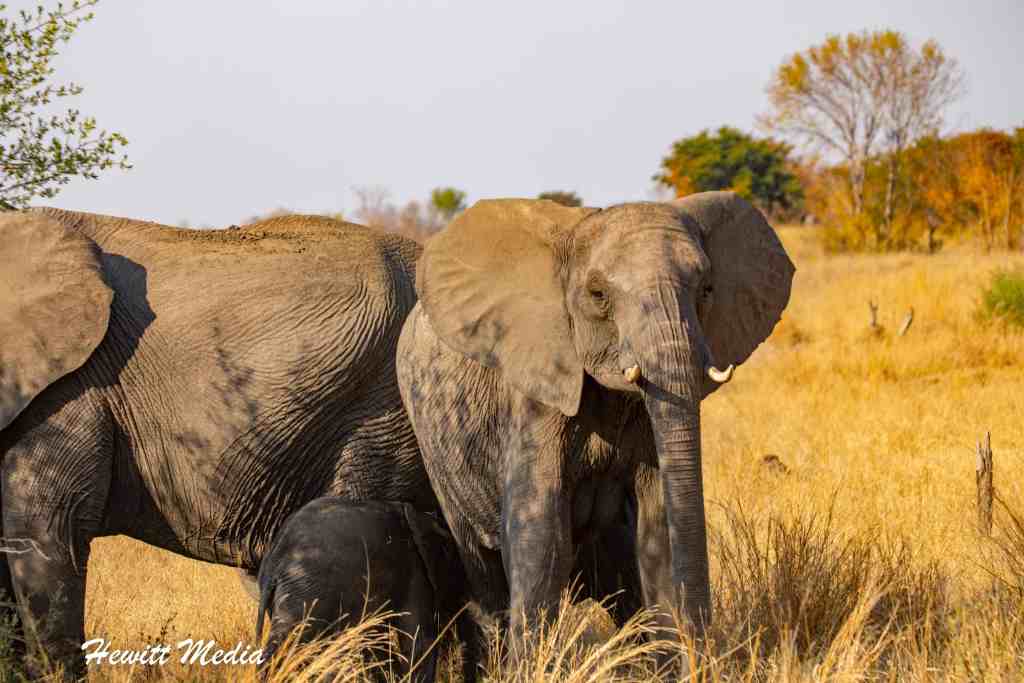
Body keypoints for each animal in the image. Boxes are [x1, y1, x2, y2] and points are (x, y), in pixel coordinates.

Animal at [256, 497, 479, 683]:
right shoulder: (414, 569)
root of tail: (275, 555)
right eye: (454, 564)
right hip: (304, 589)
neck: (421, 517)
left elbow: (375, 641)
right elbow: (419, 636)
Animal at [395, 189, 794, 655]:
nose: (703, 654)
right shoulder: (535, 389)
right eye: (598, 293)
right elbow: (542, 533)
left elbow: (659, 527)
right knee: (483, 570)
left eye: (707, 289)